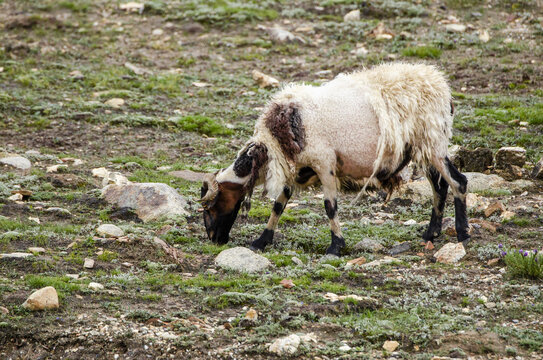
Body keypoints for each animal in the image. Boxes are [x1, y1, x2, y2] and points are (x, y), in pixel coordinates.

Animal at [200, 63, 472, 258]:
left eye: (210, 206)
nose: (214, 239)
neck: (275, 139)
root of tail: (444, 90)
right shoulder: (296, 167)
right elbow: (279, 205)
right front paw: (261, 241)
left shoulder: (324, 163)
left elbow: (330, 206)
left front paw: (335, 247)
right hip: (422, 148)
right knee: (440, 186)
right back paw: (431, 233)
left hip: (433, 142)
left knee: (458, 182)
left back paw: (462, 233)